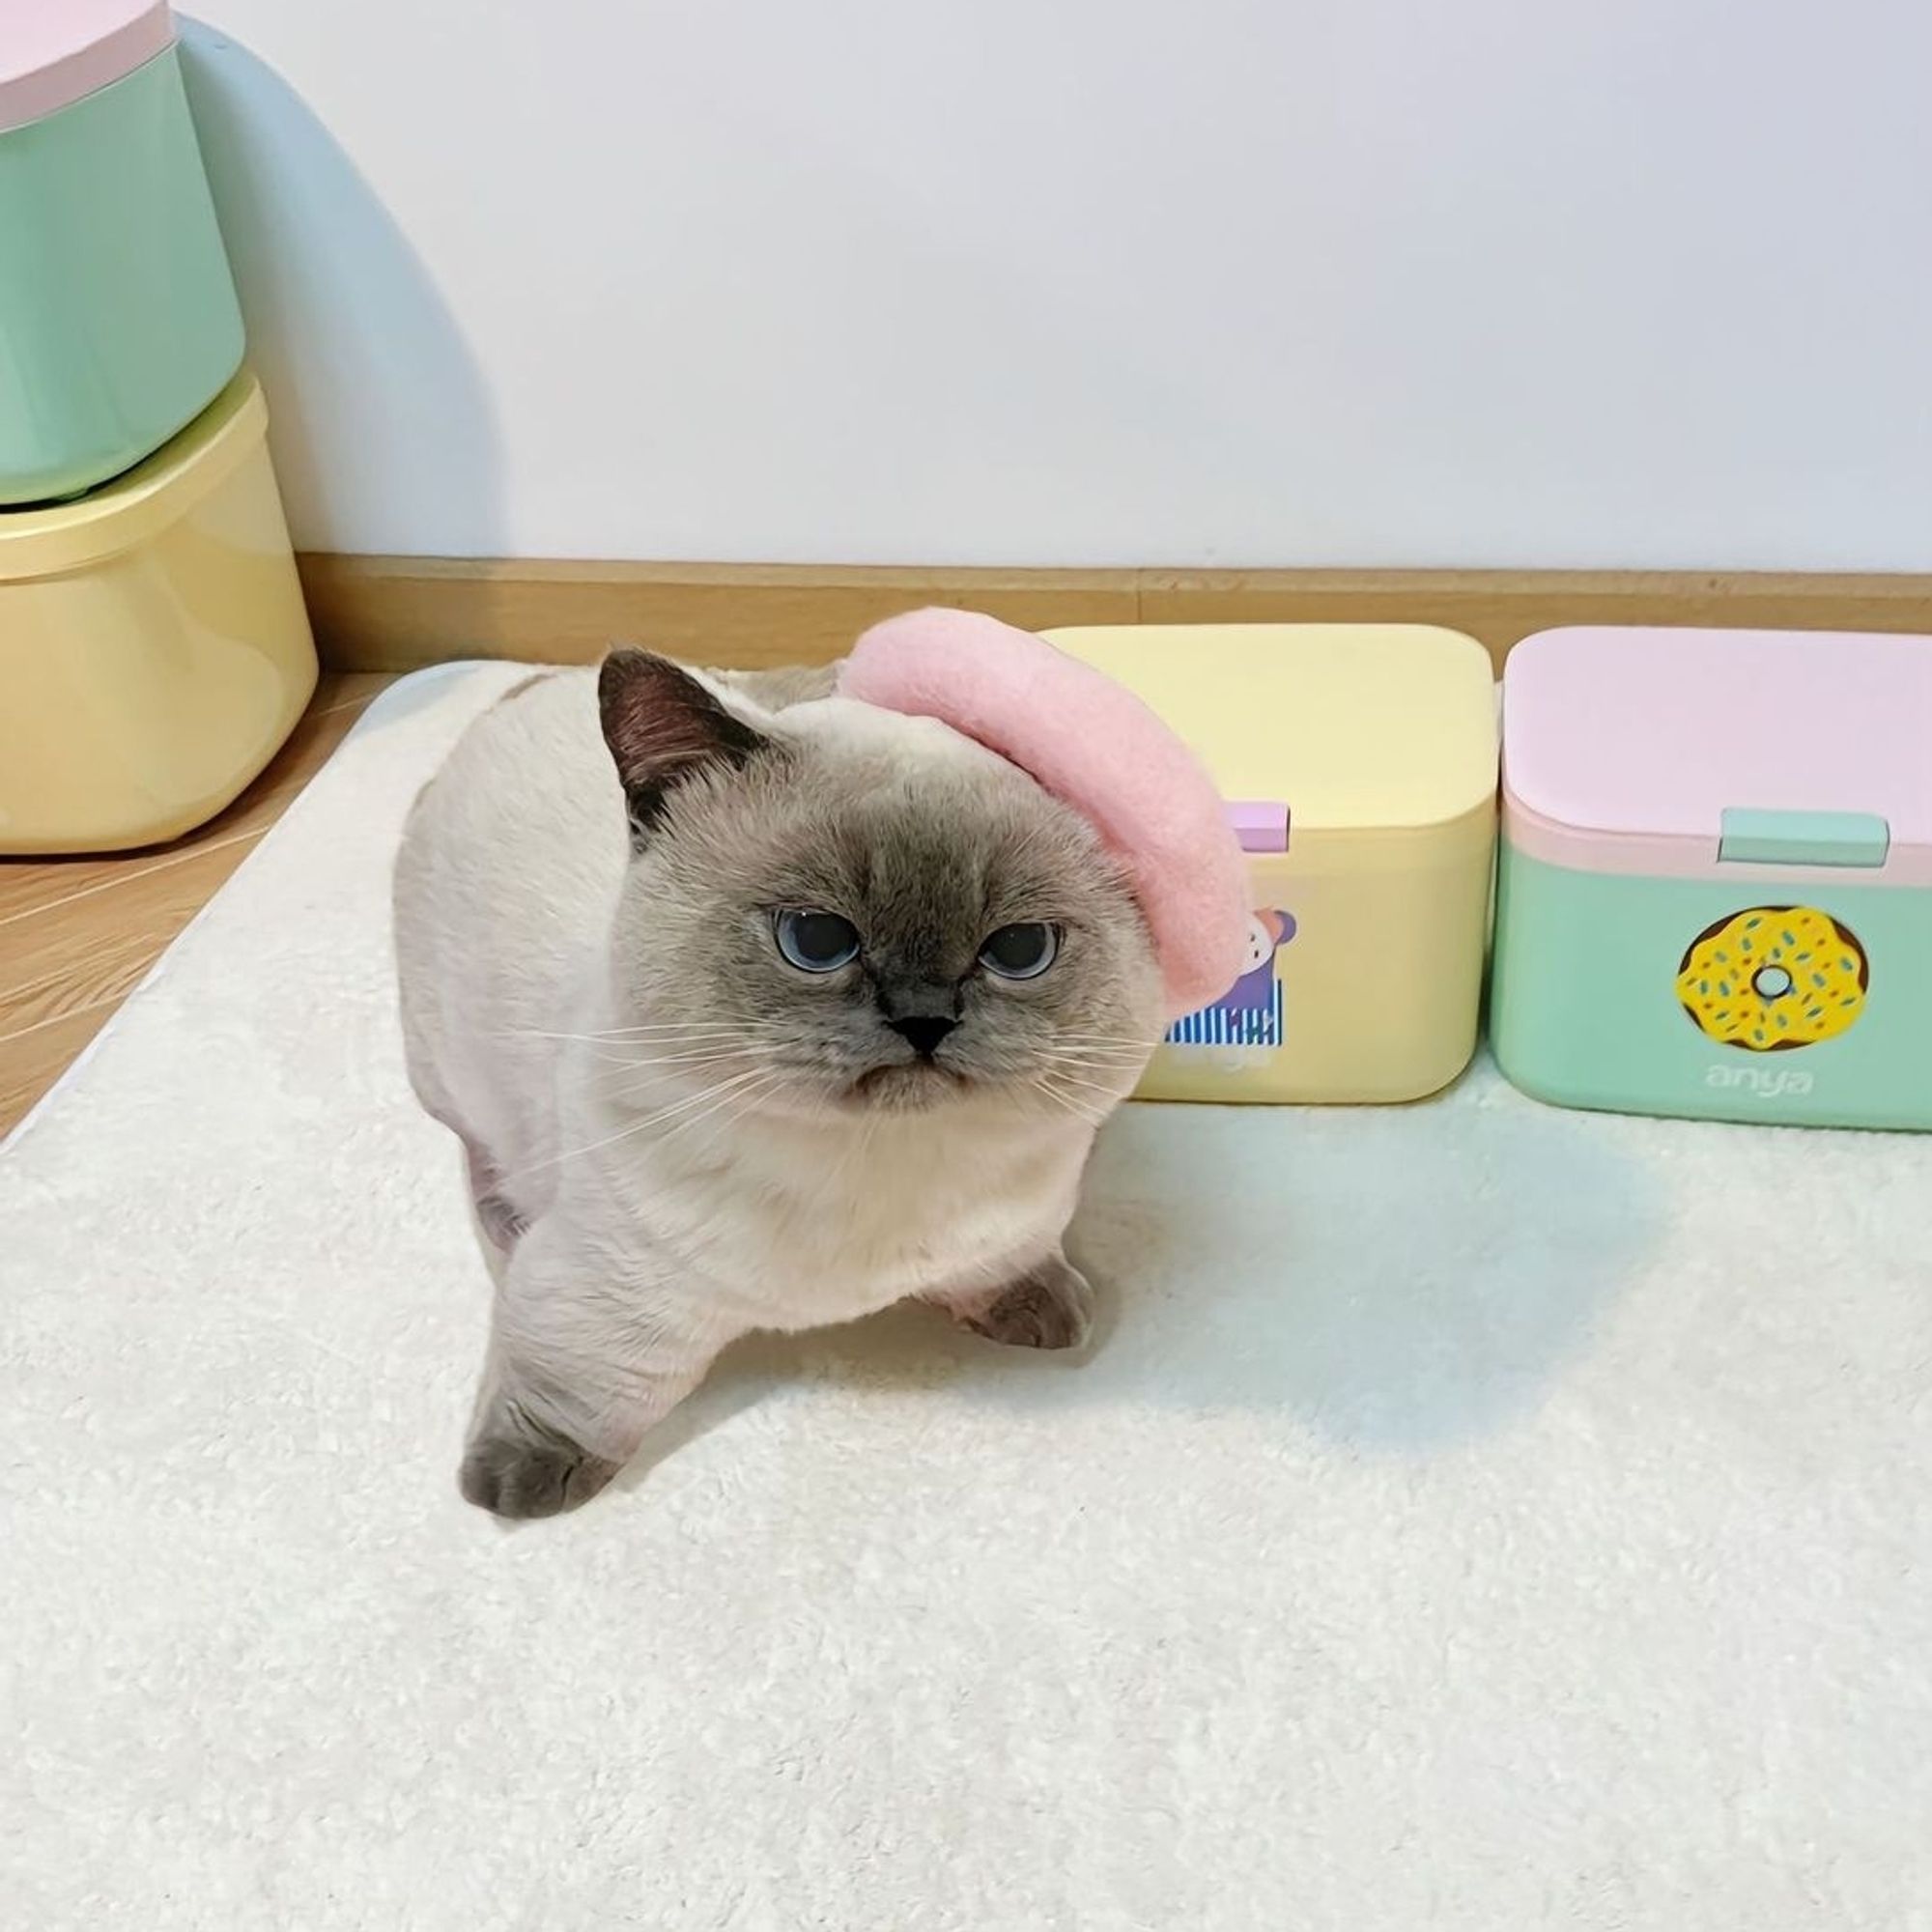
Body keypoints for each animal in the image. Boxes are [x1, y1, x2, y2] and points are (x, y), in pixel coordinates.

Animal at [392, 657, 1159, 1515]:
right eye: (816, 941)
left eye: (1020, 950)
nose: (923, 1017)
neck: (881, 1171)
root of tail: (529, 679)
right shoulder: (613, 1290)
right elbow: (583, 1394)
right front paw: (507, 1497)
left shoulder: (1021, 1219)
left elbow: (1010, 1264)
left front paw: (1041, 1311)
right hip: (446, 1070)